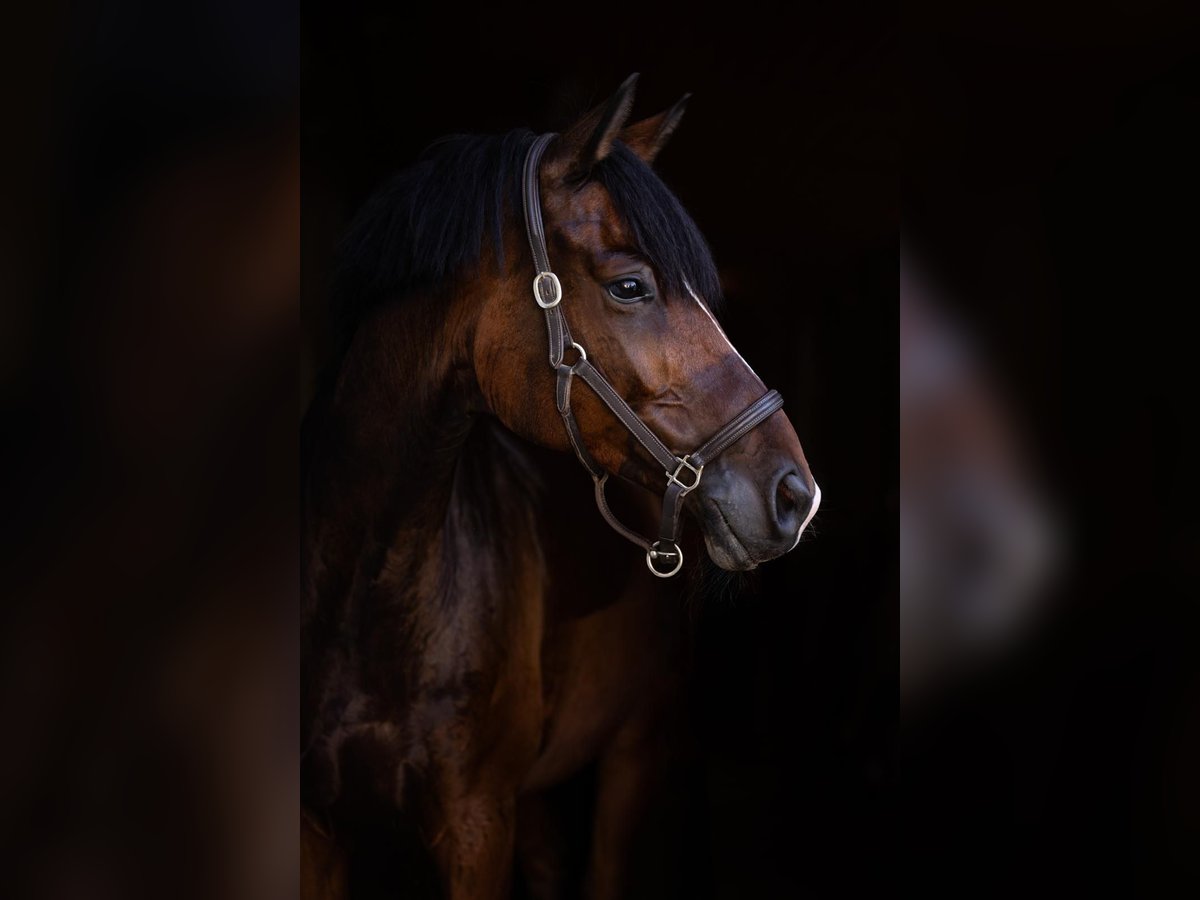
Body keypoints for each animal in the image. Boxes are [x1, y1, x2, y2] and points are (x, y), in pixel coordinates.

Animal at [301, 74, 820, 899]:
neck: (366, 593)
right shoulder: (320, 828)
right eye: (631, 286)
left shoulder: (477, 824)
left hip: (637, 746)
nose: (794, 496)